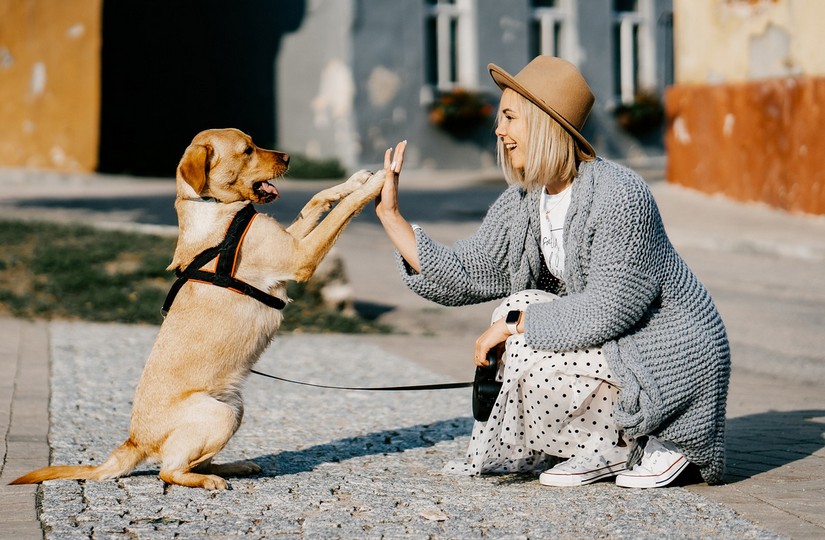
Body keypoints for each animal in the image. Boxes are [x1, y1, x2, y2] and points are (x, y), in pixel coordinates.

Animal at [12, 126, 386, 490]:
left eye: (254, 143)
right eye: (247, 150)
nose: (288, 157)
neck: (215, 208)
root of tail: (134, 441)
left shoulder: (291, 241)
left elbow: (317, 199)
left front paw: (356, 180)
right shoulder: (299, 257)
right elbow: (341, 212)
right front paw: (378, 182)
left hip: (234, 407)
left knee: (192, 461)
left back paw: (234, 467)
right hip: (219, 415)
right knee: (169, 471)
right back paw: (208, 480)